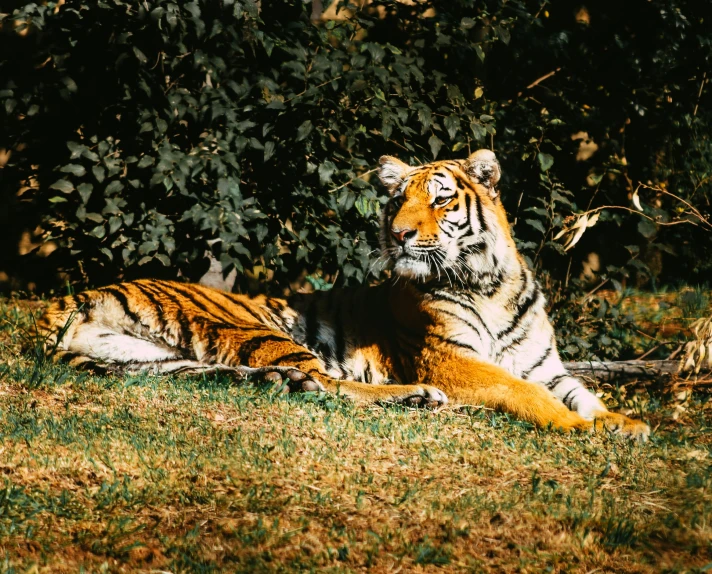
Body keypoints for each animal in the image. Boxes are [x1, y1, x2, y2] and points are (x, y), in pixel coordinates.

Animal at [36, 151, 652, 444]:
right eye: (397, 201)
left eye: (440, 200)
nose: (398, 234)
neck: (487, 283)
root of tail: (84, 292)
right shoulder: (452, 361)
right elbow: (524, 393)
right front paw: (579, 428)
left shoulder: (547, 365)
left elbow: (581, 392)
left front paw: (624, 423)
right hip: (254, 327)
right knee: (329, 383)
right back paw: (416, 398)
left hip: (158, 362)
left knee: (277, 380)